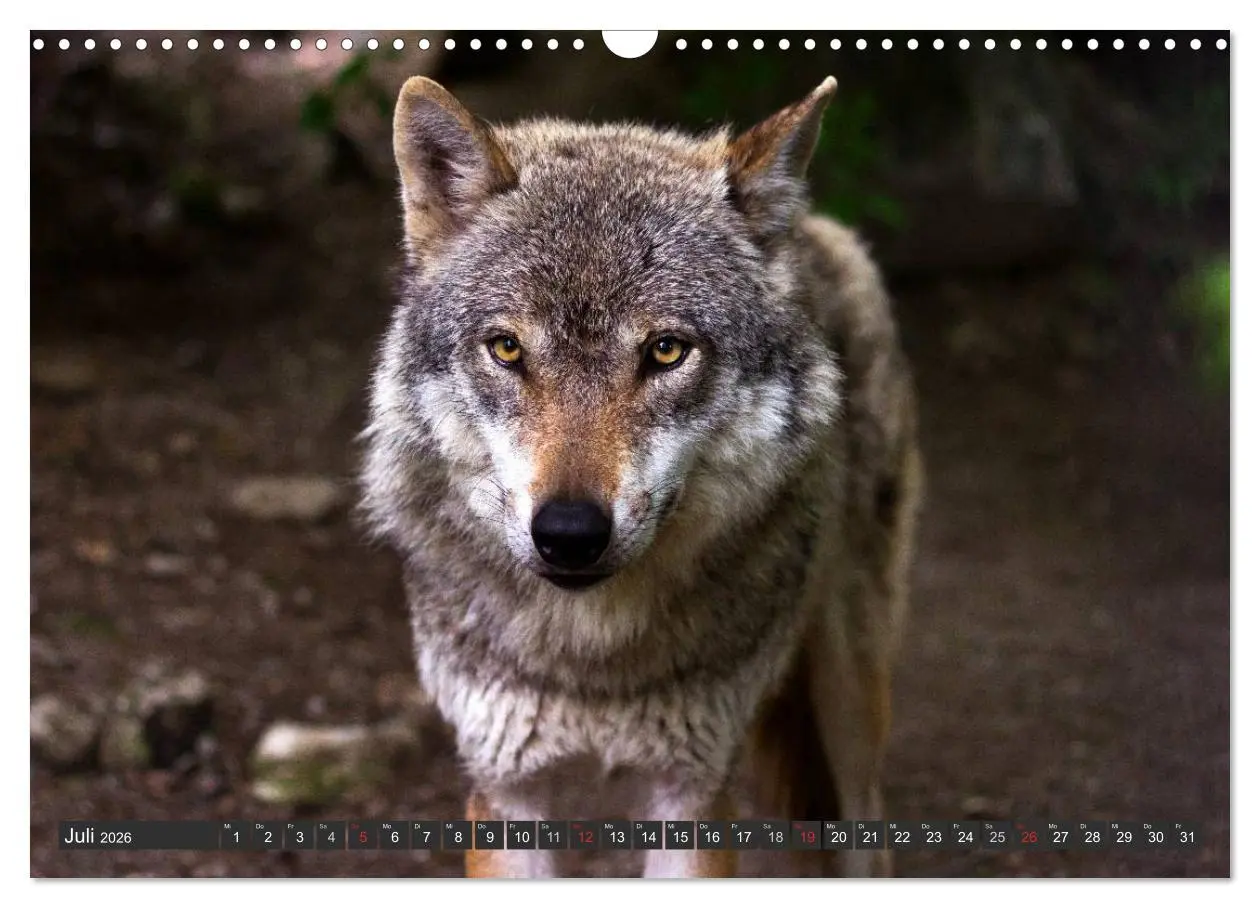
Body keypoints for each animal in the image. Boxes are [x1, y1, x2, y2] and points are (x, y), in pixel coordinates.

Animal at [359, 74, 923, 878]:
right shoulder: (506, 789)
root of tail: (813, 229)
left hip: (850, 710)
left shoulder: (691, 792)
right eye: (507, 348)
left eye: (665, 351)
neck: (591, 659)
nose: (569, 534)